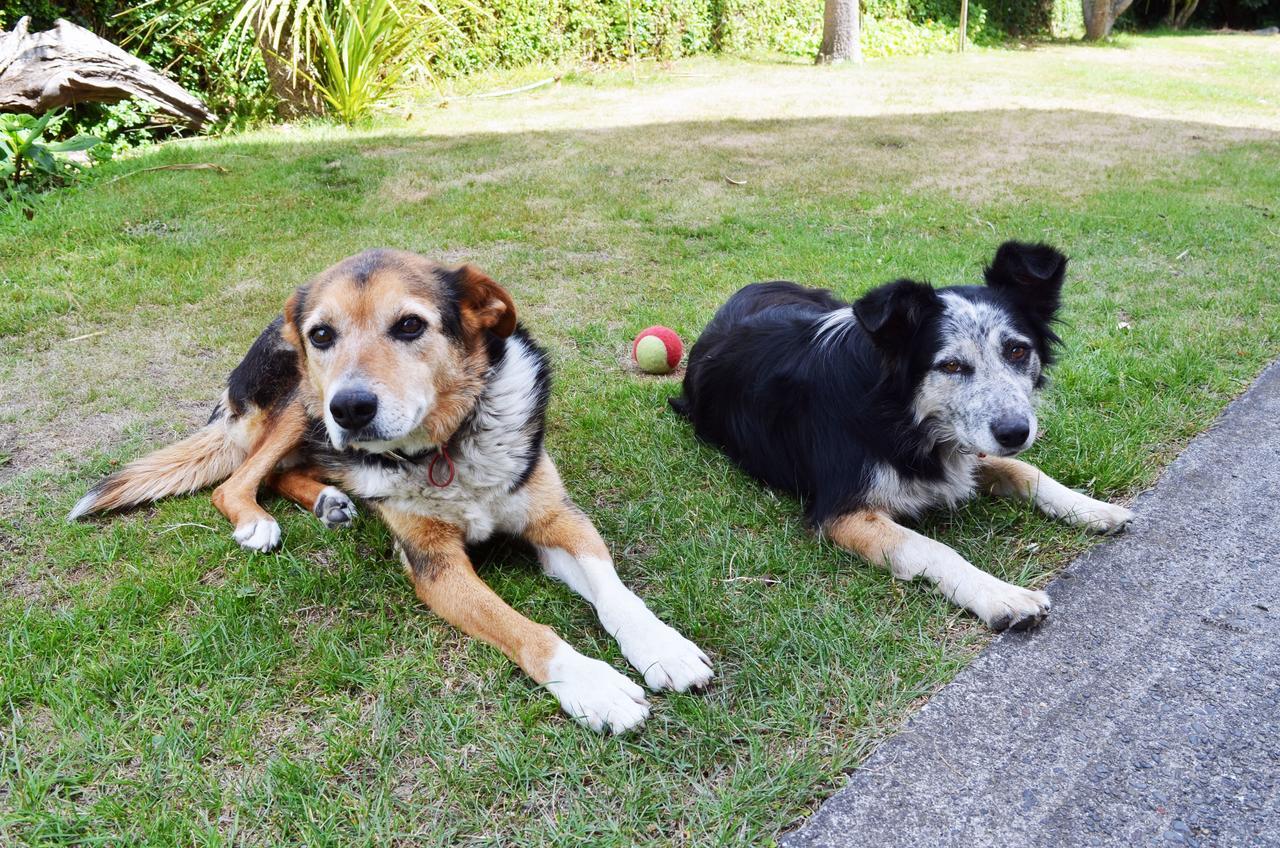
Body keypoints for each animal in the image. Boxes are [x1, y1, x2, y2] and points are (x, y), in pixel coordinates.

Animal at [70, 249, 716, 732]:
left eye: (410, 325)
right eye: (323, 334)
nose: (352, 408)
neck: (446, 449)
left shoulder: (555, 518)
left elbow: (614, 592)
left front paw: (663, 647)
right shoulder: (434, 564)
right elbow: (525, 630)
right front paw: (594, 684)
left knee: (276, 470)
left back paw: (330, 500)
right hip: (300, 401)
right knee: (238, 481)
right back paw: (259, 520)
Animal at [675, 242, 1136, 635]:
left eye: (1018, 351)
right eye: (950, 366)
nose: (1015, 432)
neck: (899, 412)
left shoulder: (963, 446)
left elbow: (1024, 469)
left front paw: (1093, 508)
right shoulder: (840, 511)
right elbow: (932, 549)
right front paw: (1002, 596)